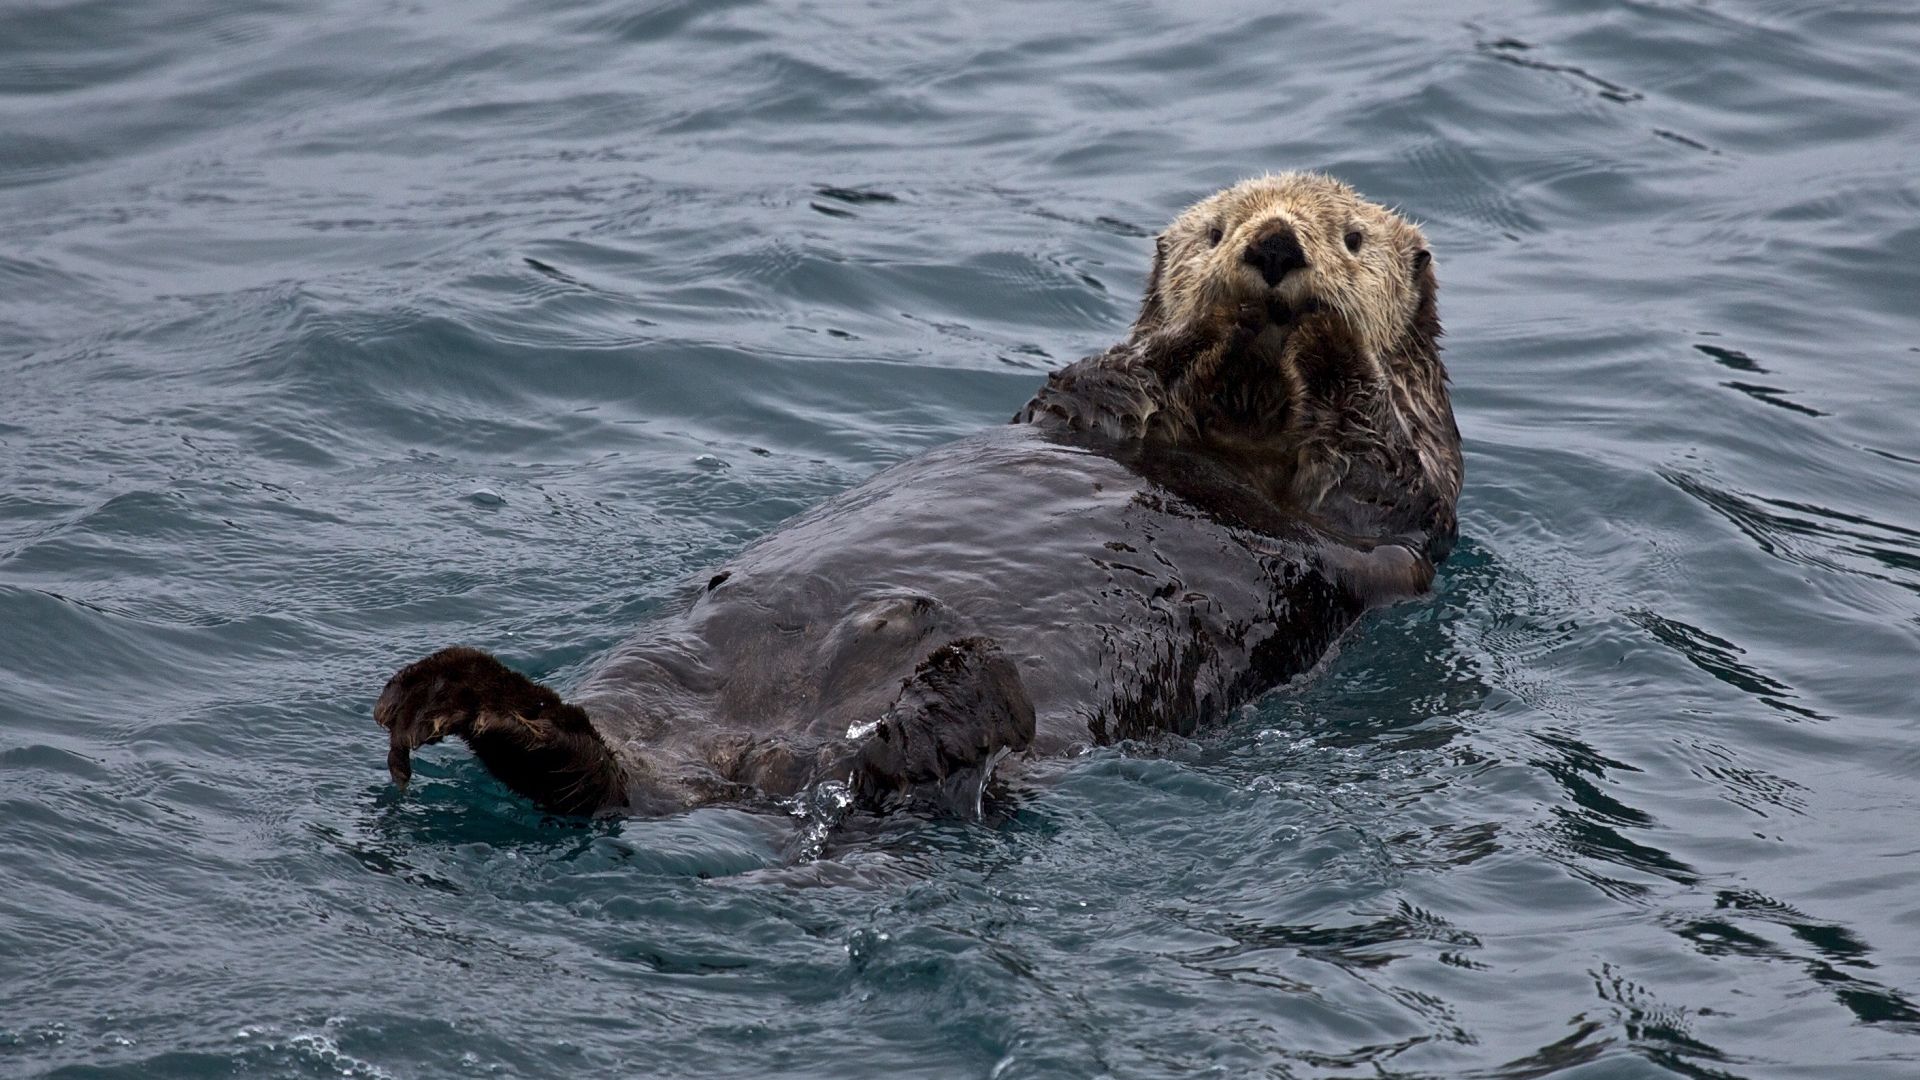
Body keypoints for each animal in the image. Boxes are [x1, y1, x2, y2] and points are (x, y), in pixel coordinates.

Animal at [370, 174, 1451, 814]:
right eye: (1215, 227)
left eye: (1353, 238)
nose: (1271, 246)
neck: (1235, 423)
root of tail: (760, 769)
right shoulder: (1081, 406)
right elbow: (1112, 374)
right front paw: (1211, 322)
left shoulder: (1399, 513)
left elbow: (1376, 462)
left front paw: (1319, 333)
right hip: (660, 674)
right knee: (599, 770)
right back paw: (474, 703)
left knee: (907, 772)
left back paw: (946, 694)